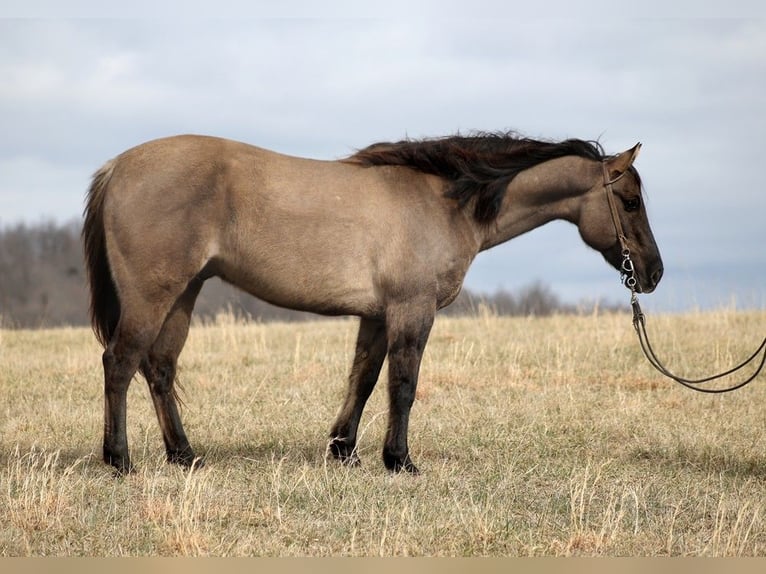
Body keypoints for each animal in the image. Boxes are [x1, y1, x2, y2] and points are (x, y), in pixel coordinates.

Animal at [81, 133, 664, 474]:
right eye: (630, 200)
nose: (653, 273)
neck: (445, 200)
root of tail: (116, 166)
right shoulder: (412, 310)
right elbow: (402, 385)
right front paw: (398, 460)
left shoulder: (377, 316)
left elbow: (362, 380)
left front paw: (344, 450)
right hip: (154, 295)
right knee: (120, 362)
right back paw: (120, 460)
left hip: (184, 292)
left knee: (159, 367)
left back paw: (185, 456)